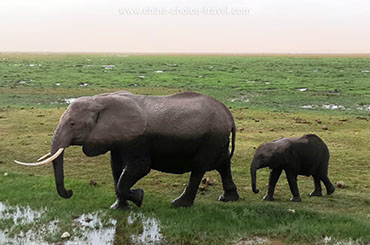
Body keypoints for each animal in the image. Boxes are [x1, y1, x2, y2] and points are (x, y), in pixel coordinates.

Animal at [14, 91, 238, 208]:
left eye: (72, 124)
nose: (70, 192)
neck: (100, 100)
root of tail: (229, 114)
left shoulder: (137, 140)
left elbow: (139, 168)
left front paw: (139, 197)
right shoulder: (118, 139)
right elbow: (116, 167)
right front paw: (120, 208)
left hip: (211, 138)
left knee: (199, 168)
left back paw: (179, 204)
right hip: (217, 139)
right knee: (223, 164)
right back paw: (228, 199)